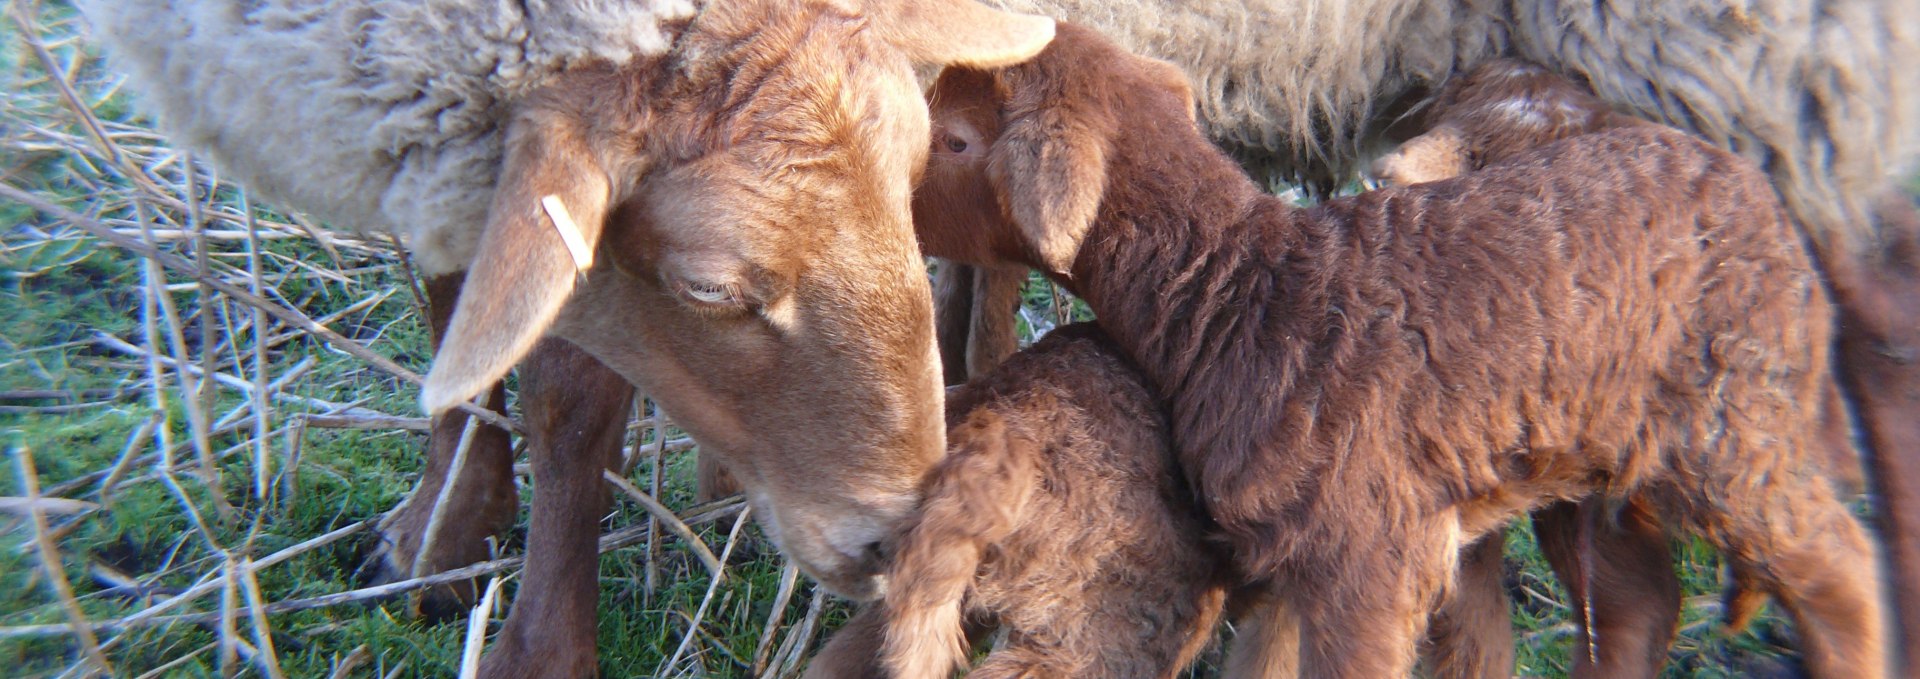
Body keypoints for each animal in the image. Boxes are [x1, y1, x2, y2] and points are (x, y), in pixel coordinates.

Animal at [74, 2, 1059, 675]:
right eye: (709, 286)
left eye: (910, 166)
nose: (893, 541)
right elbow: (457, 304)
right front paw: (439, 535)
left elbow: (568, 408)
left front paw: (536, 651)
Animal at [921, 1, 1912, 675]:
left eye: (958, 140)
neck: (1239, 286)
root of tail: (1747, 188)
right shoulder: (1323, 549)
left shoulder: (1368, 555)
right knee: (1639, 596)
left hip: (1729, 401)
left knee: (1839, 548)